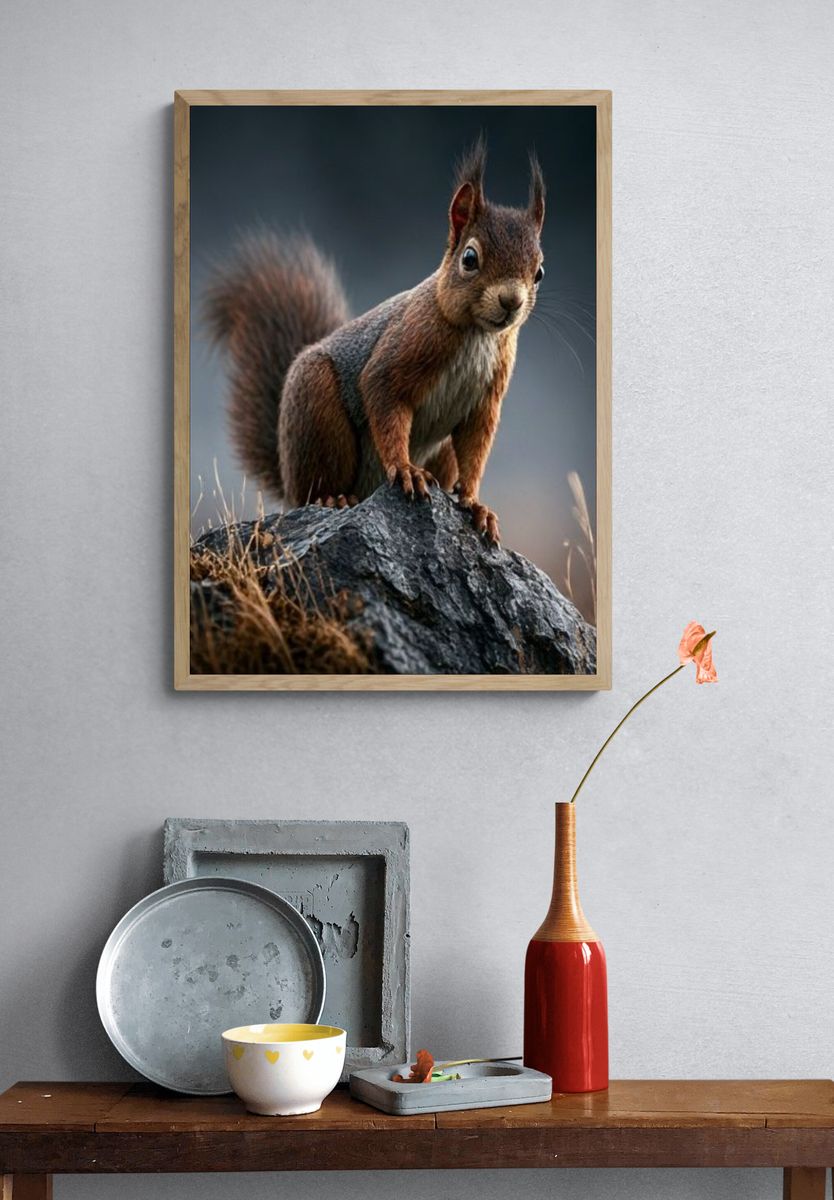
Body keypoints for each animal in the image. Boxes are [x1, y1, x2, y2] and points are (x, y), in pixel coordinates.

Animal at [206, 139, 545, 545]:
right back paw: (333, 499)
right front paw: (406, 469)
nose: (512, 301)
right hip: (317, 408)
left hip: (440, 453)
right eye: (469, 258)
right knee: (317, 485)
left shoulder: (487, 399)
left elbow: (476, 447)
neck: (478, 335)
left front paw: (476, 504)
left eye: (539, 272)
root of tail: (288, 481)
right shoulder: (404, 349)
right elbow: (383, 396)